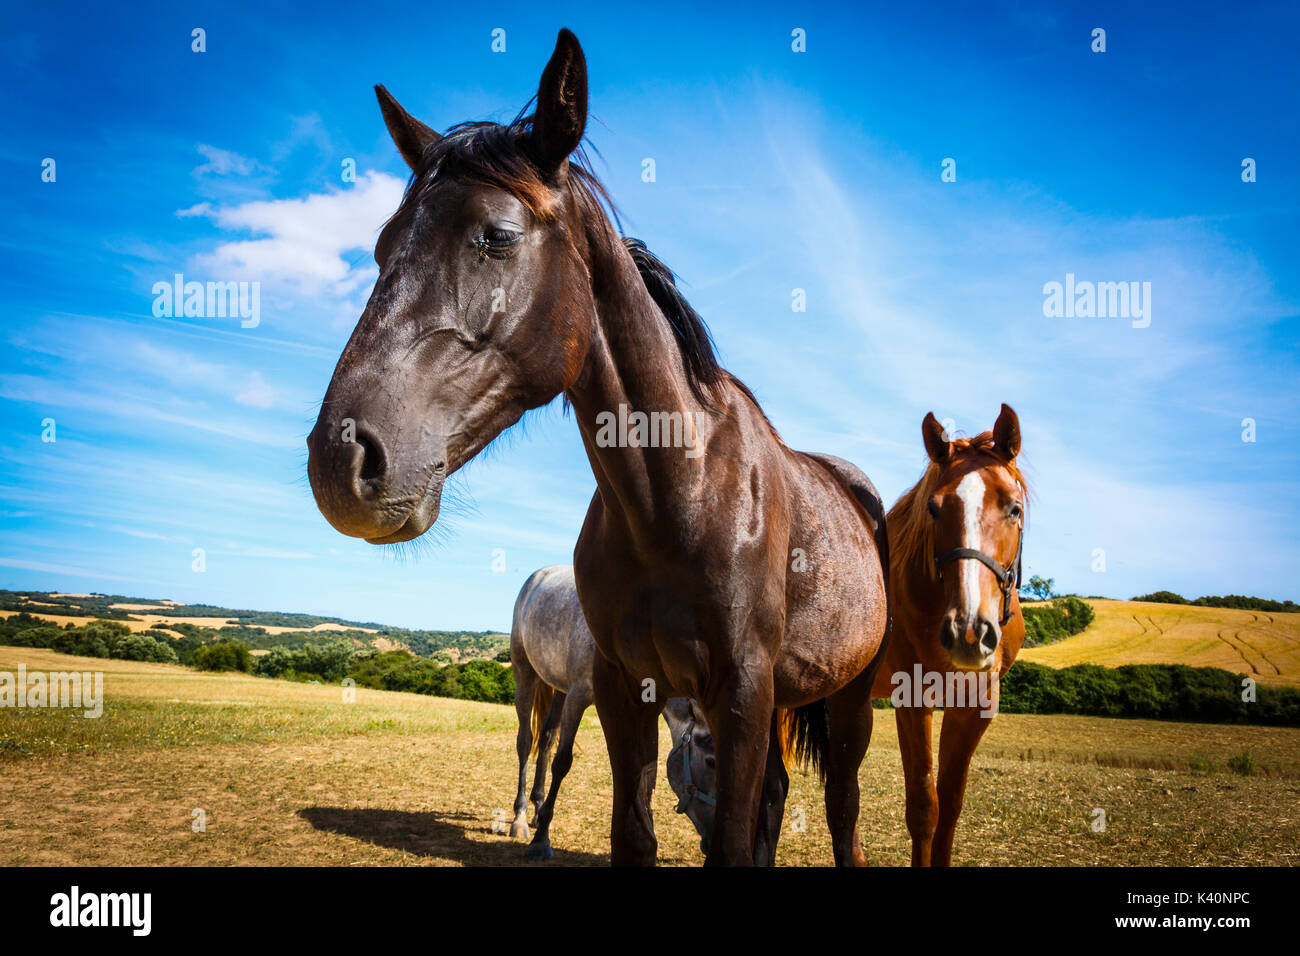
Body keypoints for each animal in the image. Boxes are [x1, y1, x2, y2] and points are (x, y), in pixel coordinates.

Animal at [506, 564, 717, 863]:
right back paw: (521, 818)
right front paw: (541, 841)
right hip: (525, 674)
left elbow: (646, 773)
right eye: (711, 762)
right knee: (525, 742)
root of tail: (538, 576)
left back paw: (538, 808)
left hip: (558, 688)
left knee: (545, 739)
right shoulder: (578, 696)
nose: (711, 843)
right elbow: (563, 762)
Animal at [873, 403, 1024, 868]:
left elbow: (951, 805)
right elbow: (925, 807)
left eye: (1014, 508)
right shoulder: (911, 698)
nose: (968, 632)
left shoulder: (975, 705)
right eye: (935, 509)